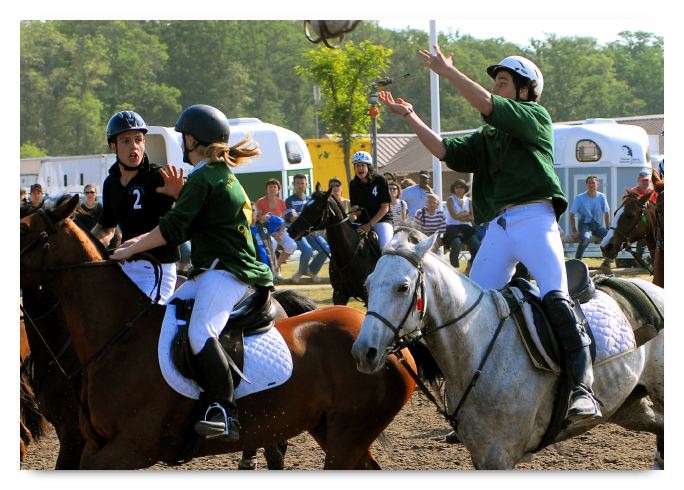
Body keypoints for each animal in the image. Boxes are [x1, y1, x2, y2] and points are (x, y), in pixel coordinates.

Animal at [19, 195, 416, 469]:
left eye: (24, 230)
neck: (117, 335)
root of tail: (390, 344)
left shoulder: (129, 447)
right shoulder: (91, 444)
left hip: (347, 436)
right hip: (329, 430)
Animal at [351, 230, 664, 469]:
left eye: (403, 287)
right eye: (368, 284)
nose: (363, 351)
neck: (478, 350)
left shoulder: (498, 458)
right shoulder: (482, 457)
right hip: (628, 406)